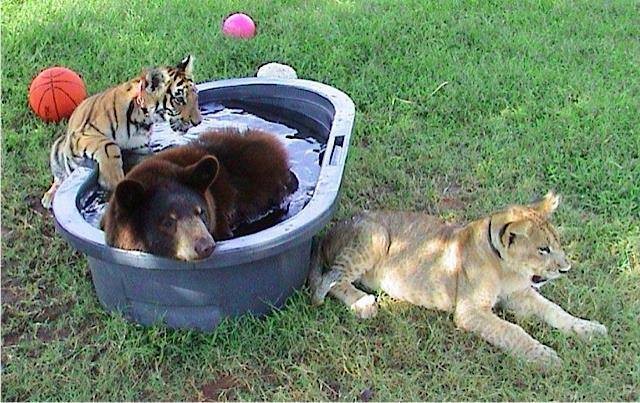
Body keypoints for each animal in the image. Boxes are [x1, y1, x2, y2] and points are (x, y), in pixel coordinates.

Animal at [41, 55, 202, 209]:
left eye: (196, 96)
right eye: (179, 99)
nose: (198, 122)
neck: (142, 119)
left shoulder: (138, 150)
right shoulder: (82, 134)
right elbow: (108, 145)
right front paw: (112, 180)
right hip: (59, 148)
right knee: (59, 178)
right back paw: (49, 197)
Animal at [308, 191, 607, 368]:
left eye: (556, 244)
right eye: (543, 249)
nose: (566, 268)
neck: (505, 268)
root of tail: (329, 231)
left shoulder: (520, 294)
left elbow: (555, 311)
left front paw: (589, 329)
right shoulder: (470, 311)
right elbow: (512, 331)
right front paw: (544, 356)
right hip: (376, 235)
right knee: (327, 282)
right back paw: (363, 304)